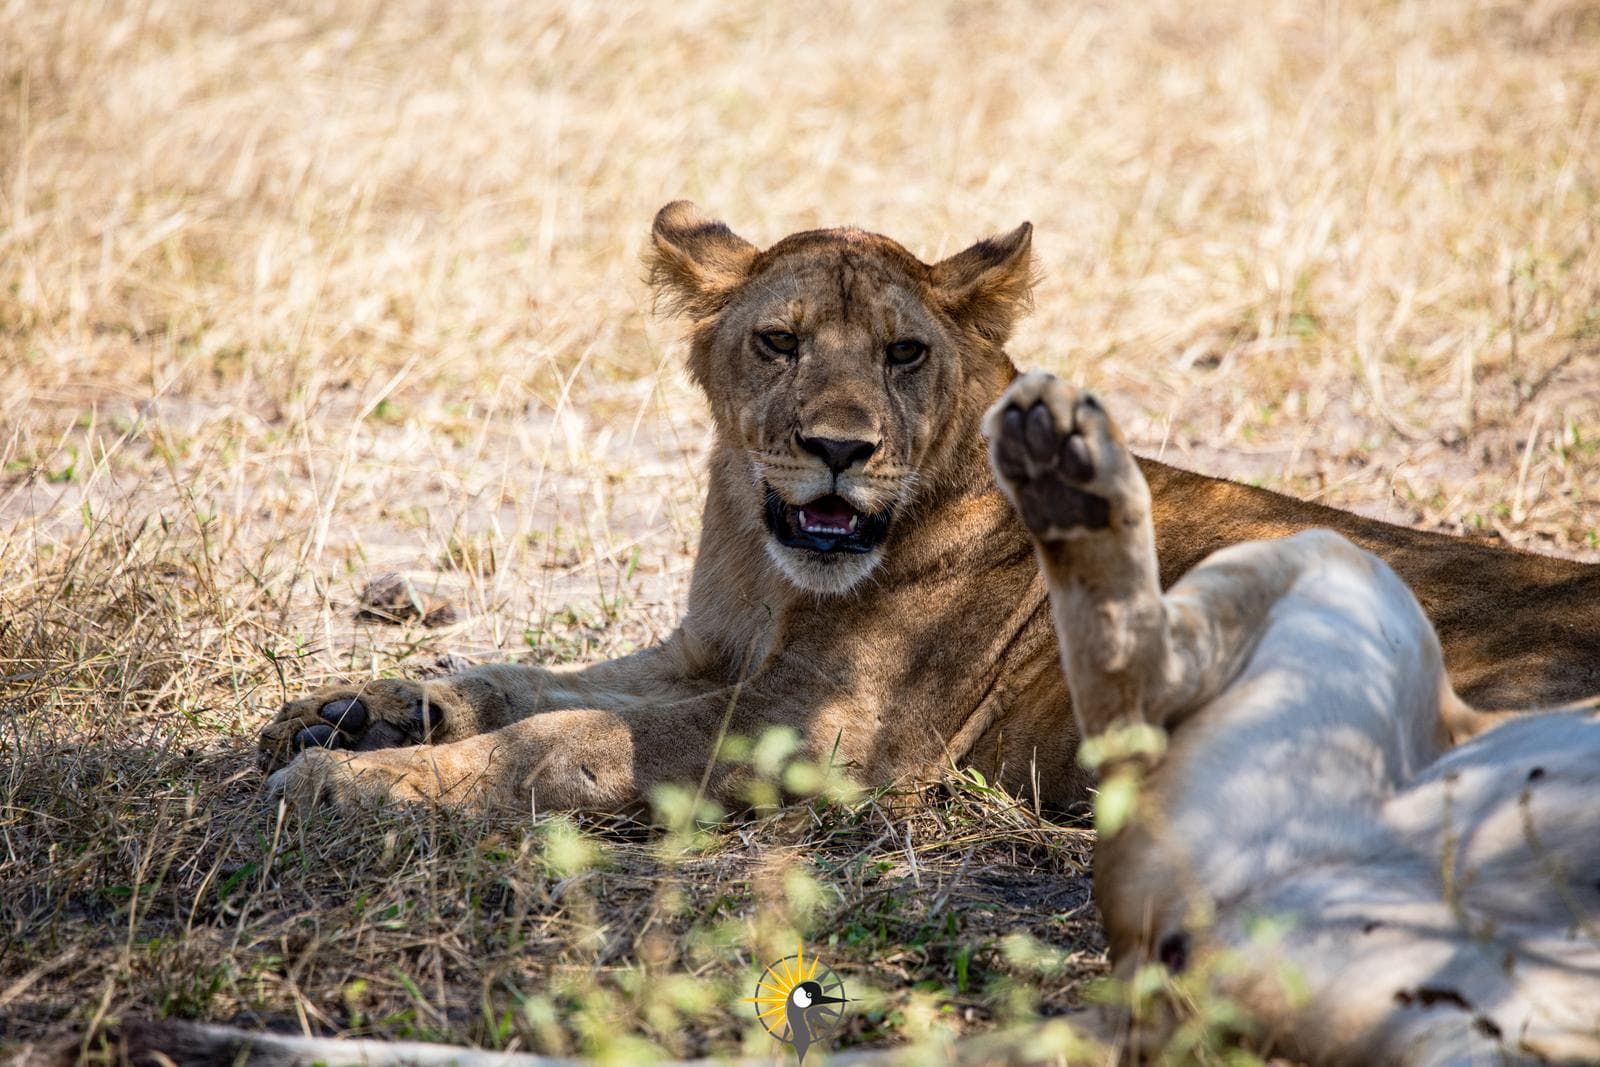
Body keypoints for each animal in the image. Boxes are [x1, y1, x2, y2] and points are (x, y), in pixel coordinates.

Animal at [258, 202, 1600, 814]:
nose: (836, 450)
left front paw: (352, 783)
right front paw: (360, 708)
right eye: (780, 341)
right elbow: (534, 677)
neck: (766, 567)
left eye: (904, 354)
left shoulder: (827, 730)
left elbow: (568, 734)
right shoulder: (706, 652)